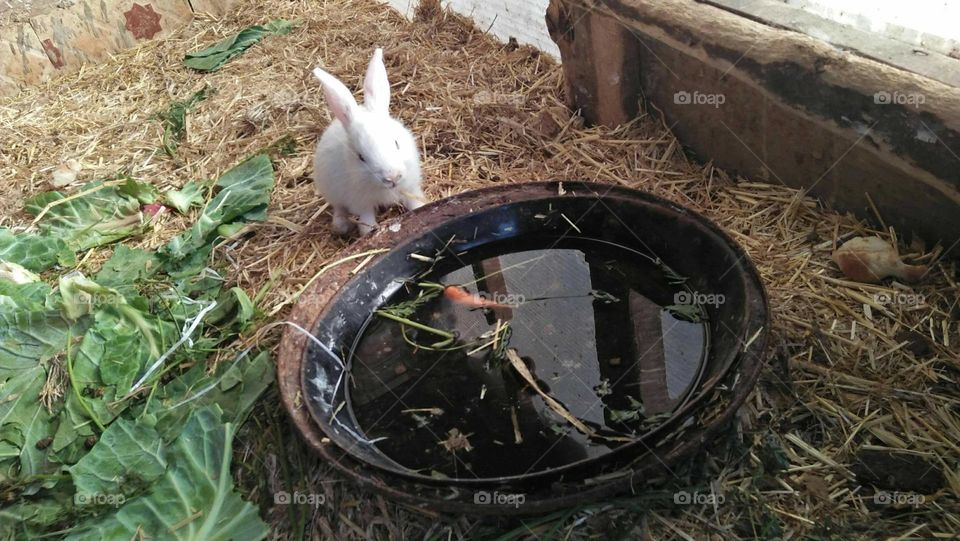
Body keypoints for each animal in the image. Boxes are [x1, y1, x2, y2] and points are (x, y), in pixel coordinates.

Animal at [314, 45, 426, 233]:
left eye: (396, 143)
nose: (392, 177)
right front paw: (370, 232)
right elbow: (367, 223)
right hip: (331, 191)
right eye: (361, 157)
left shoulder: (410, 187)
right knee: (339, 208)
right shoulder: (361, 203)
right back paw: (341, 226)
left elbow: (416, 204)